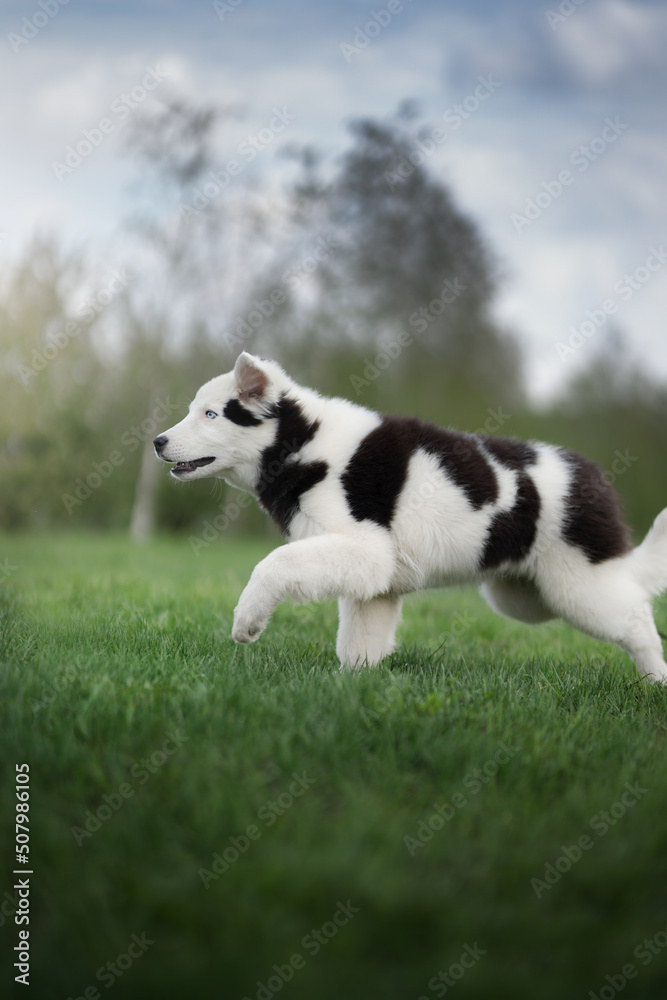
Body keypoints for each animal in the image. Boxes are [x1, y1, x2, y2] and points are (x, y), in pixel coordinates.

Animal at [154, 352, 667, 680]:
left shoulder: (364, 547)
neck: (301, 445)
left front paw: (247, 622)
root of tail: (596, 477)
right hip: (525, 595)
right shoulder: (375, 577)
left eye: (211, 415)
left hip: (579, 585)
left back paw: (654, 683)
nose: (157, 442)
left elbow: (273, 564)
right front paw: (352, 687)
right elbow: (359, 640)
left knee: (637, 615)